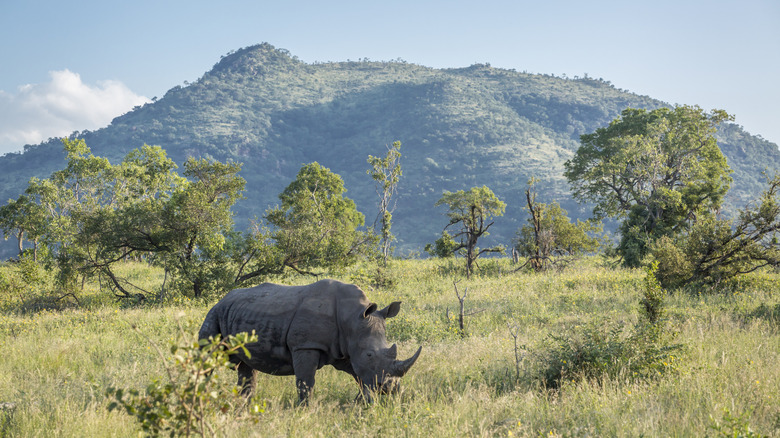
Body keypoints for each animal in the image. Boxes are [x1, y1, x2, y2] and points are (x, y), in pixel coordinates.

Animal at [198, 279, 422, 403]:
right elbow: (306, 381)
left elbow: (359, 376)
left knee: (247, 366)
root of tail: (223, 299)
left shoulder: (346, 349)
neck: (352, 318)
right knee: (207, 358)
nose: (390, 388)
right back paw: (202, 393)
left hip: (238, 313)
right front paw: (304, 409)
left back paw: (244, 405)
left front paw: (364, 402)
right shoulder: (305, 346)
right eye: (369, 354)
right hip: (214, 314)